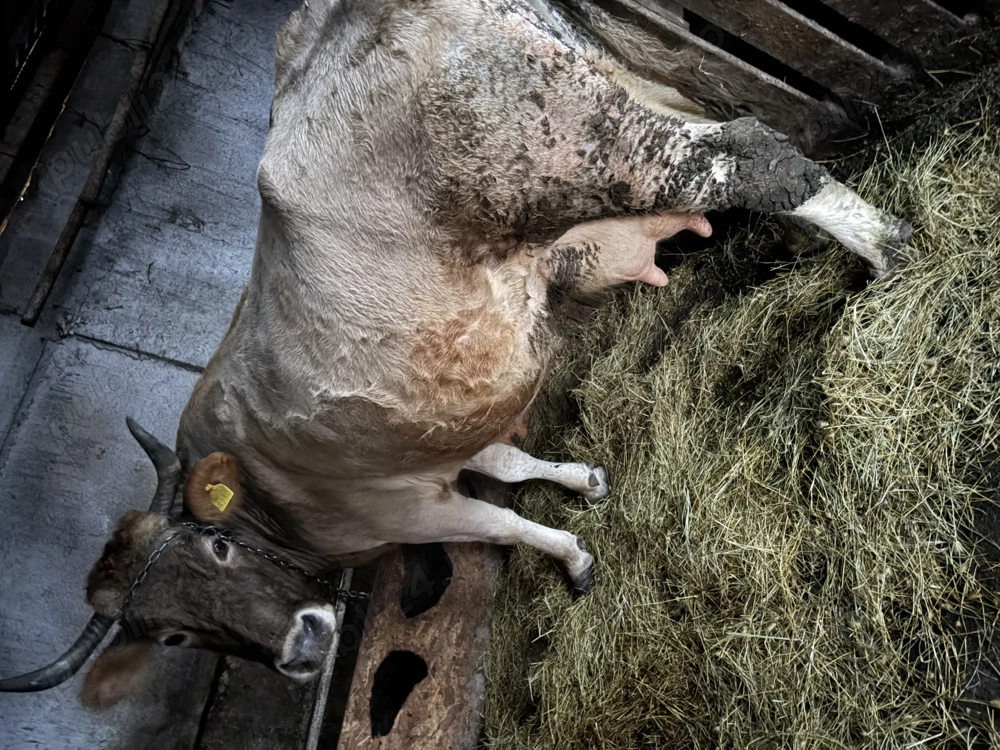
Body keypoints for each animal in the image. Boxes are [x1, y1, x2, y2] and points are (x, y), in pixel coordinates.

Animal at [0, 0, 912, 704]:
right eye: (173, 637)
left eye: (217, 552)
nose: (302, 647)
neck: (271, 502)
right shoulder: (434, 453)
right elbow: (509, 463)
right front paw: (583, 482)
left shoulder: (410, 512)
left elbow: (502, 522)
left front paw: (574, 556)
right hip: (614, 100)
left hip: (587, 148)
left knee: (753, 158)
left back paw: (890, 249)